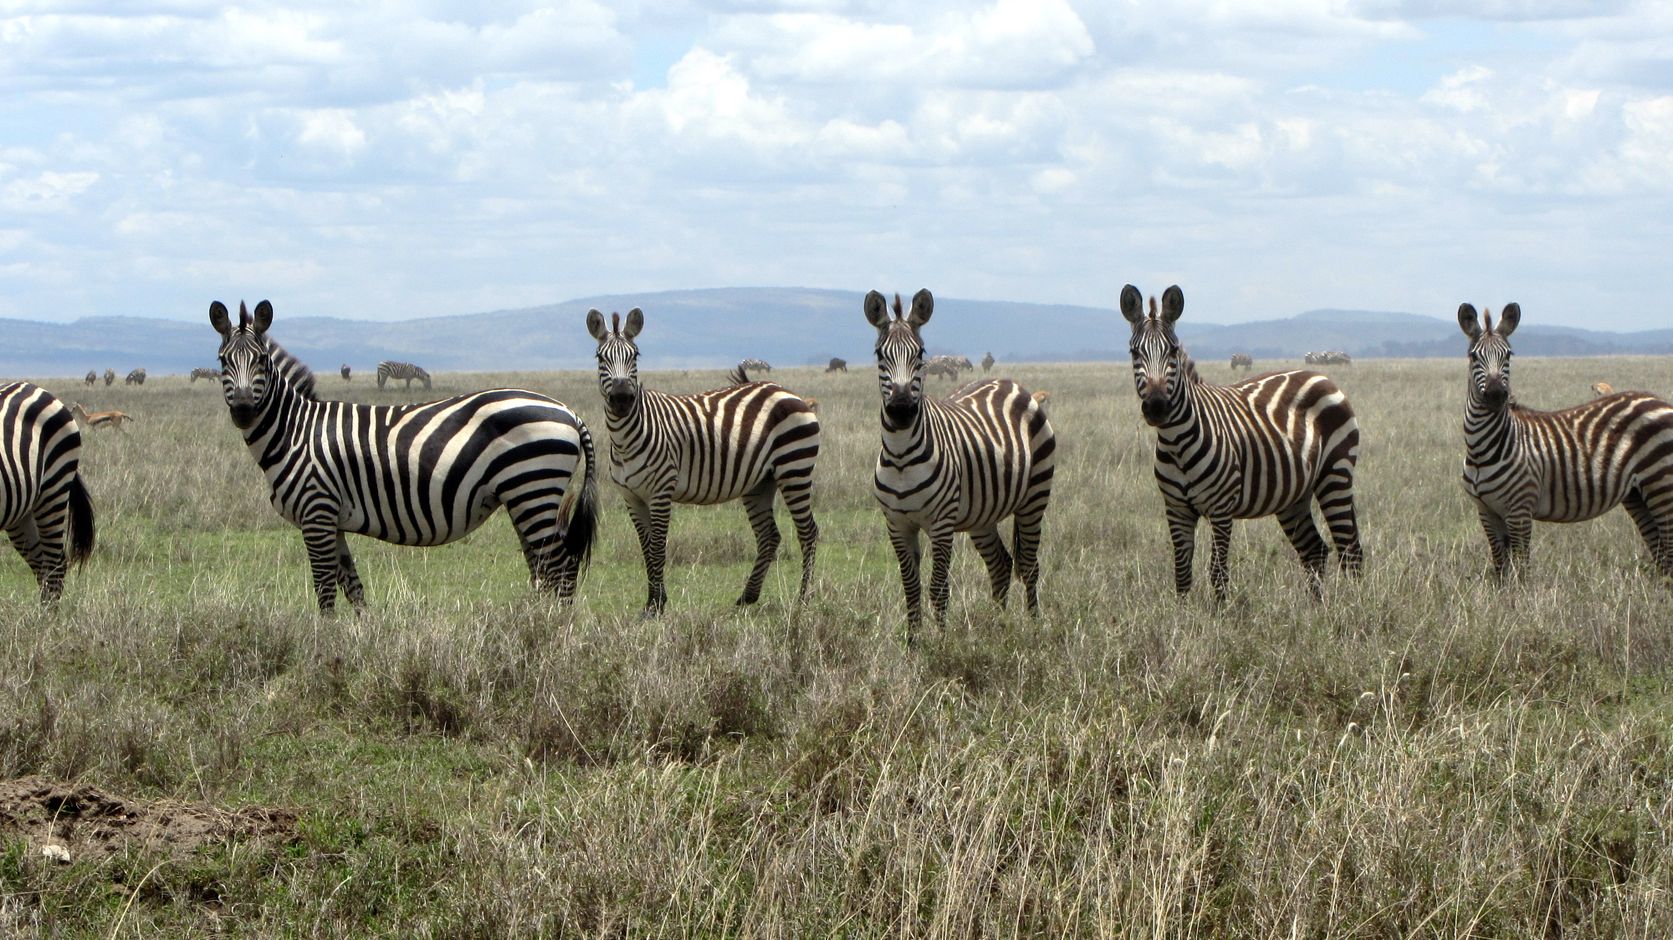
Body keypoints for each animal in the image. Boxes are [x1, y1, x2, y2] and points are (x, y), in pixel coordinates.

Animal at [211, 300, 598, 611]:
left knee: (561, 567)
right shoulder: (332, 520)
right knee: (543, 568)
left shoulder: (316, 512)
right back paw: (536, 624)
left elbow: (324, 590)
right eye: (223, 361)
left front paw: (324, 643)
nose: (243, 410)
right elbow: (352, 587)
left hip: (533, 487)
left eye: (262, 360)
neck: (296, 432)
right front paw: (359, 637)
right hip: (524, 496)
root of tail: (568, 411)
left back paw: (554, 632)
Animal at [586, 307, 819, 614]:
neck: (627, 438)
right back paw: (747, 596)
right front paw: (652, 602)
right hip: (760, 481)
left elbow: (658, 548)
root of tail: (785, 391)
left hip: (795, 468)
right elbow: (646, 548)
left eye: (635, 356)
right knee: (769, 536)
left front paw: (657, 604)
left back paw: (803, 598)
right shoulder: (632, 497)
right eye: (600, 357)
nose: (622, 398)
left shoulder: (661, 491)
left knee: (808, 532)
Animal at [865, 290, 1055, 639]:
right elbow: (910, 588)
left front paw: (941, 644)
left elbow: (938, 589)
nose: (901, 411)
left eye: (921, 354)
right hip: (982, 515)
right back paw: (999, 626)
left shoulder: (941, 524)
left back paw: (1034, 627)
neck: (901, 457)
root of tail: (1010, 383)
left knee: (1029, 565)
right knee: (1001, 564)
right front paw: (913, 644)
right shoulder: (897, 524)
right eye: (879, 355)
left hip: (1034, 498)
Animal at [1123, 285, 1362, 599]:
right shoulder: (1176, 510)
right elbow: (1182, 575)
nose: (1157, 406)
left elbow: (1217, 572)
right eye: (1134, 352)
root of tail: (1319, 374)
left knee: (1350, 550)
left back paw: (1353, 605)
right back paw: (1316, 605)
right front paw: (1183, 612)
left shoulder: (1221, 510)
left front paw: (1220, 612)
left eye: (1173, 351)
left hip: (1335, 474)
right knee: (1314, 549)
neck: (1177, 443)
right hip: (1294, 494)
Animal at [1458, 303, 1673, 580]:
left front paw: (1522, 593)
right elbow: (1501, 568)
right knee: (1661, 553)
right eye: (1474, 356)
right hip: (1638, 493)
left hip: (1661, 483)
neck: (1484, 450)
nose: (1496, 395)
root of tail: (1660, 401)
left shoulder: (1520, 509)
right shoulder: (1486, 512)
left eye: (1508, 356)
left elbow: (1521, 567)